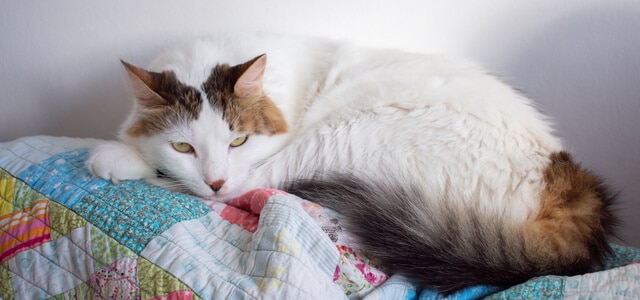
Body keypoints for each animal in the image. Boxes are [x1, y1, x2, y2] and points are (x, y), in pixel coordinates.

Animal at [85, 32, 616, 292]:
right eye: (184, 147)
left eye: (237, 140)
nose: (213, 179)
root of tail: (564, 180)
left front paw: (114, 157)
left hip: (345, 130)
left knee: (258, 185)